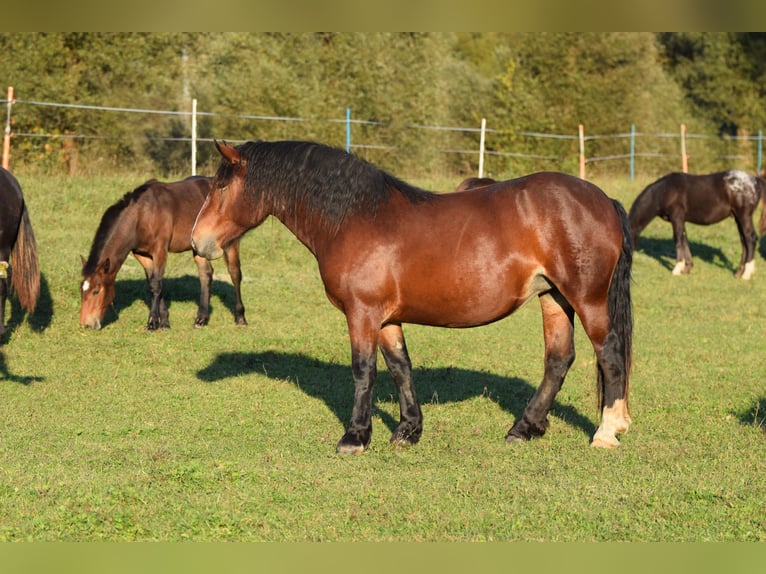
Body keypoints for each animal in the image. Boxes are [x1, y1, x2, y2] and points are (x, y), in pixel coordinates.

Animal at [80, 176, 247, 331]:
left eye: (96, 291)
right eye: (82, 290)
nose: (86, 324)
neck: (142, 215)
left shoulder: (160, 250)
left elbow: (157, 284)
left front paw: (152, 323)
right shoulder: (142, 255)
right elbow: (153, 283)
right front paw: (165, 322)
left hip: (230, 243)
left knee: (234, 273)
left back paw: (240, 318)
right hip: (198, 247)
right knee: (206, 274)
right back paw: (201, 319)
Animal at [192, 140, 633, 454]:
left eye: (222, 186)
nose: (198, 242)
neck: (354, 218)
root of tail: (602, 200)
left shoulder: (362, 314)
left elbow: (364, 370)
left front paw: (354, 437)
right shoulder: (386, 318)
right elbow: (400, 367)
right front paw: (407, 430)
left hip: (587, 298)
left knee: (609, 354)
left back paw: (607, 431)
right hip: (553, 297)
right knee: (558, 359)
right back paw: (524, 428)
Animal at [628, 170, 766, 279]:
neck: (665, 191)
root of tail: (755, 180)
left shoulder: (676, 217)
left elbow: (678, 239)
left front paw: (677, 268)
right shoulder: (681, 220)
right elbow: (684, 239)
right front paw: (687, 268)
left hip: (744, 216)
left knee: (750, 239)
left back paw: (747, 274)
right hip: (737, 218)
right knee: (744, 241)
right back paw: (739, 273)